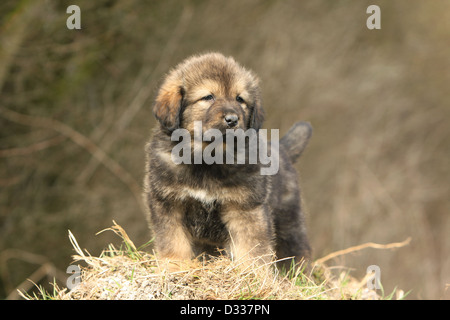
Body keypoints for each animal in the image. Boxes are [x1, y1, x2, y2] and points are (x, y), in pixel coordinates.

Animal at [144, 53, 312, 270]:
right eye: (208, 97)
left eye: (239, 99)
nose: (232, 119)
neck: (207, 159)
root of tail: (282, 148)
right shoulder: (168, 203)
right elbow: (173, 241)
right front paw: (176, 266)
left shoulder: (245, 208)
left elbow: (252, 247)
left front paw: (253, 274)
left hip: (288, 222)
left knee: (297, 250)